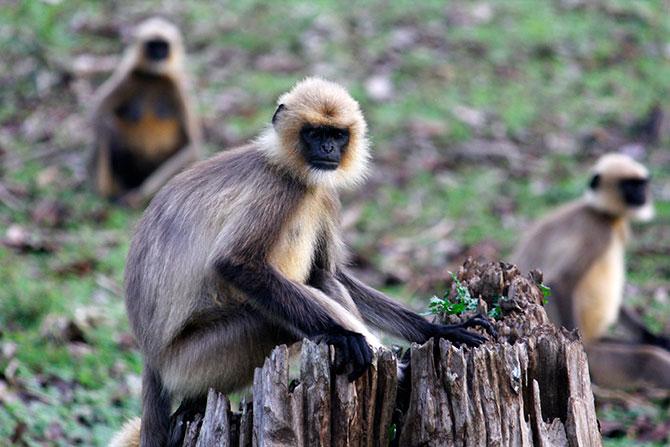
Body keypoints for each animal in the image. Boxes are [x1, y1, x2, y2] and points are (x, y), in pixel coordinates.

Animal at [89, 16, 201, 207]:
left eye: (164, 46)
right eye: (152, 45)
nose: (158, 54)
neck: (154, 77)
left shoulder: (176, 86)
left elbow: (190, 146)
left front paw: (138, 196)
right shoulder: (128, 79)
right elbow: (98, 114)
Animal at [111, 79, 494, 446]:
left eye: (336, 135)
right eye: (314, 133)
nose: (326, 150)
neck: (288, 166)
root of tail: (151, 358)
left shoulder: (324, 194)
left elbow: (331, 272)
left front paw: (436, 330)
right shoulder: (279, 189)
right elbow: (235, 264)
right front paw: (344, 335)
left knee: (321, 280)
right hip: (194, 361)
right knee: (271, 318)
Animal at [512, 153, 668, 388]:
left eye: (641, 184)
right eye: (629, 185)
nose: (641, 194)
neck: (604, 215)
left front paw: (652, 336)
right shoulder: (597, 232)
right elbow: (563, 280)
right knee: (647, 359)